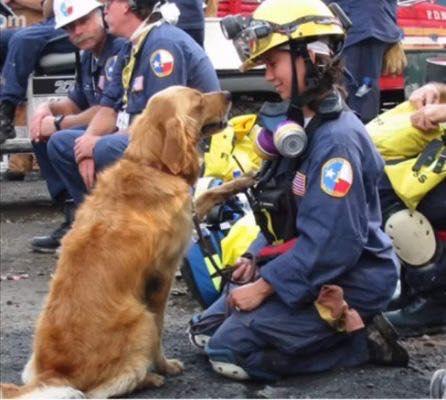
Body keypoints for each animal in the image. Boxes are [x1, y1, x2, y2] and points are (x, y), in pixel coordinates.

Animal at [0, 86, 230, 398]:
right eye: (198, 100)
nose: (229, 94)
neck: (152, 165)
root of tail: (54, 373)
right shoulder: (162, 278)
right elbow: (160, 329)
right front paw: (164, 366)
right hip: (140, 319)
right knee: (106, 387)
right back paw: (149, 377)